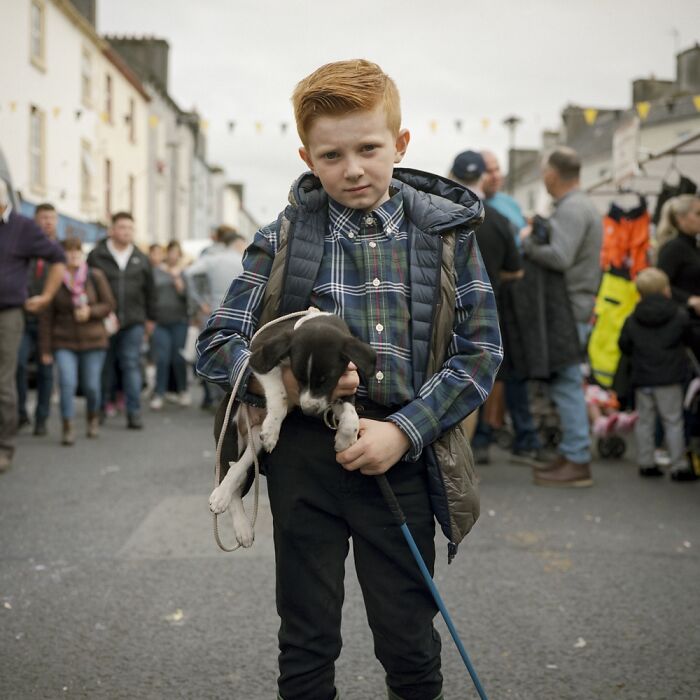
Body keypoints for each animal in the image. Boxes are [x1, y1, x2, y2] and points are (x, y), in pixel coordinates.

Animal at [208, 309, 377, 547]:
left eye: (326, 380)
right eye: (298, 378)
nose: (308, 410)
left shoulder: (345, 382)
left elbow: (351, 414)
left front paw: (345, 438)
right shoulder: (259, 359)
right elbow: (280, 394)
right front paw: (274, 423)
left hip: (255, 439)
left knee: (240, 465)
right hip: (228, 432)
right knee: (228, 471)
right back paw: (228, 507)